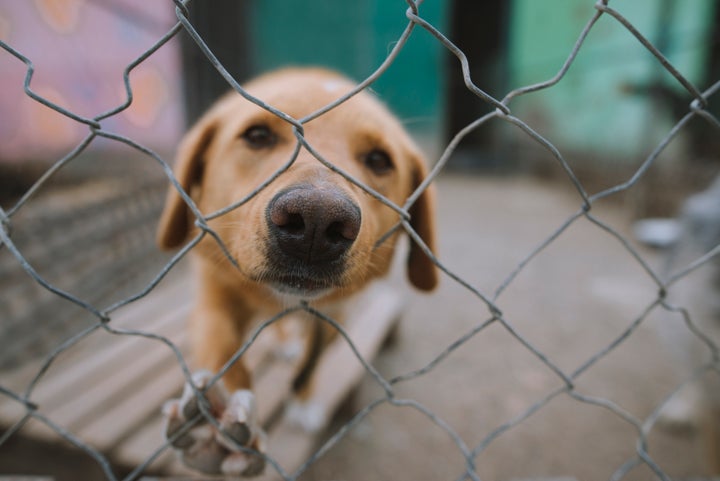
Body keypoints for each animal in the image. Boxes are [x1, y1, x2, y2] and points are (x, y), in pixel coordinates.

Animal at [158, 67, 438, 476]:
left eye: (379, 159)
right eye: (258, 136)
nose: (315, 222)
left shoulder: (336, 315)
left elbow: (314, 357)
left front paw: (303, 401)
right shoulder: (214, 291)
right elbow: (222, 345)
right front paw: (216, 419)